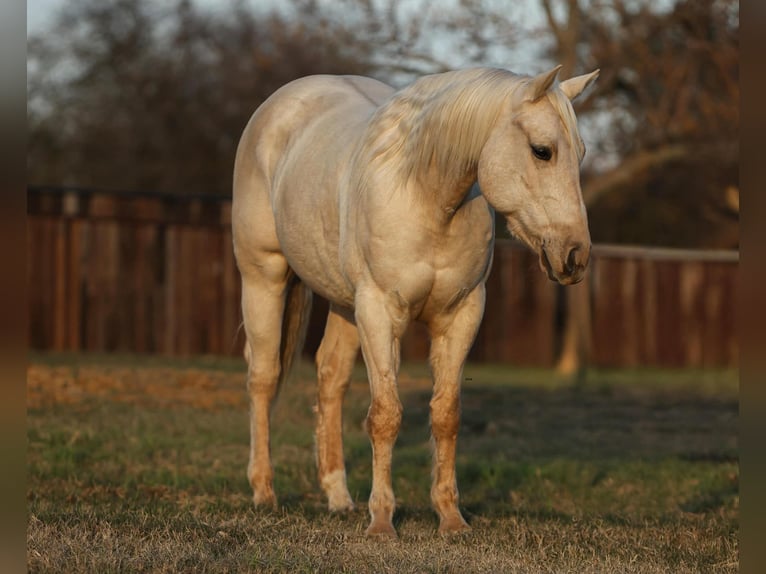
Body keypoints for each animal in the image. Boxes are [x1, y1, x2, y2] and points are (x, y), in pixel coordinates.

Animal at [232, 65, 599, 537]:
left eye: (582, 152)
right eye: (542, 151)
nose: (575, 256)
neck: (428, 199)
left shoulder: (461, 315)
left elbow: (446, 415)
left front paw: (450, 518)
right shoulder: (379, 312)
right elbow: (385, 415)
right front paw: (382, 522)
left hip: (344, 304)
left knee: (330, 378)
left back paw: (338, 497)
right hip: (265, 277)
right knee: (263, 377)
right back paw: (264, 492)